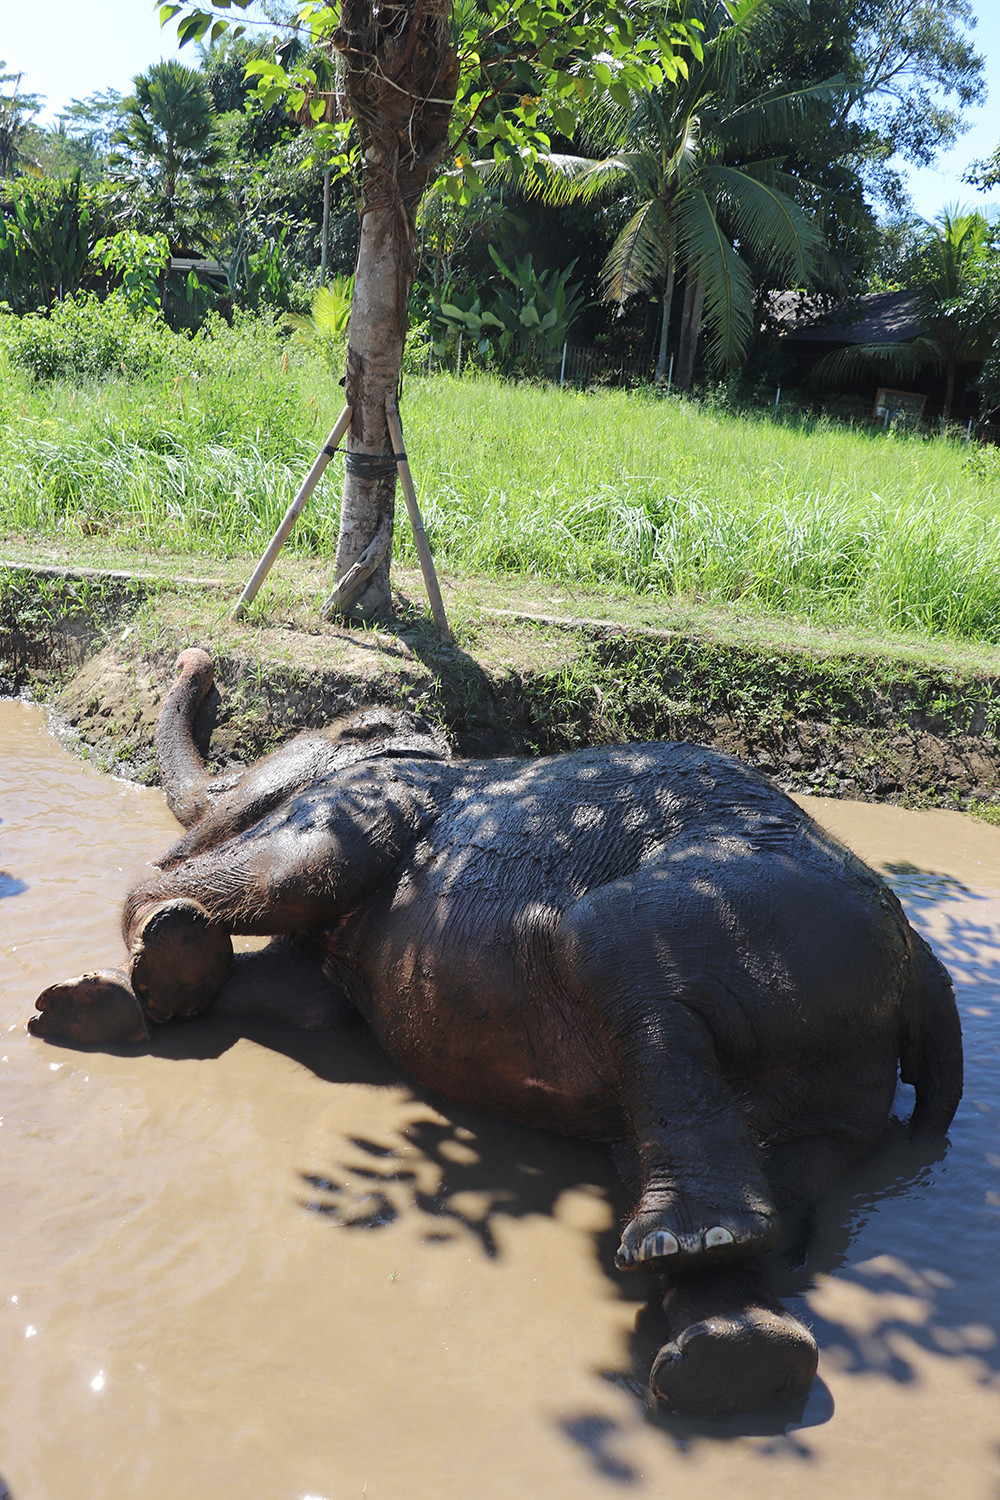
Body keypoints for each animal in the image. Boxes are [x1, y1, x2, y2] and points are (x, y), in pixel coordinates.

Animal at [30, 648, 963, 1417]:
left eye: (253, 774)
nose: (203, 659)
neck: (427, 754)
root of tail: (923, 970)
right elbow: (302, 1003)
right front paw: (120, 996)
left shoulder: (358, 809)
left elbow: (287, 877)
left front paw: (161, 947)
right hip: (835, 1073)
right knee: (741, 1157)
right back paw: (735, 1361)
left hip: (755, 915)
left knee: (614, 948)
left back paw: (692, 1259)